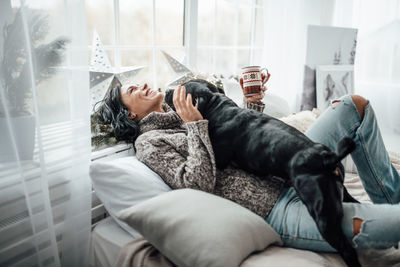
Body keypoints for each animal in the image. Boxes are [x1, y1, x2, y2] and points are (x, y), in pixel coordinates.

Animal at [166, 80, 362, 267]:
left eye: (179, 91)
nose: (166, 90)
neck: (217, 107)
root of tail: (327, 158)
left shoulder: (219, 159)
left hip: (323, 214)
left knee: (347, 249)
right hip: (339, 195)